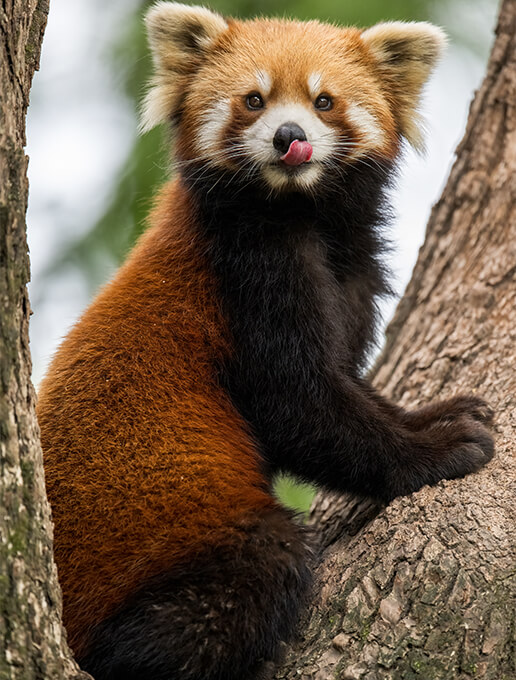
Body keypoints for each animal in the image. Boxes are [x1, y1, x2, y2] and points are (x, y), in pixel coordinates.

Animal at [37, 5, 496, 680]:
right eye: (254, 100)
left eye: (324, 101)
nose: (288, 136)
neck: (300, 215)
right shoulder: (246, 280)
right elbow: (301, 409)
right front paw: (438, 447)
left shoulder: (351, 276)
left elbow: (346, 385)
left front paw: (438, 412)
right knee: (260, 567)